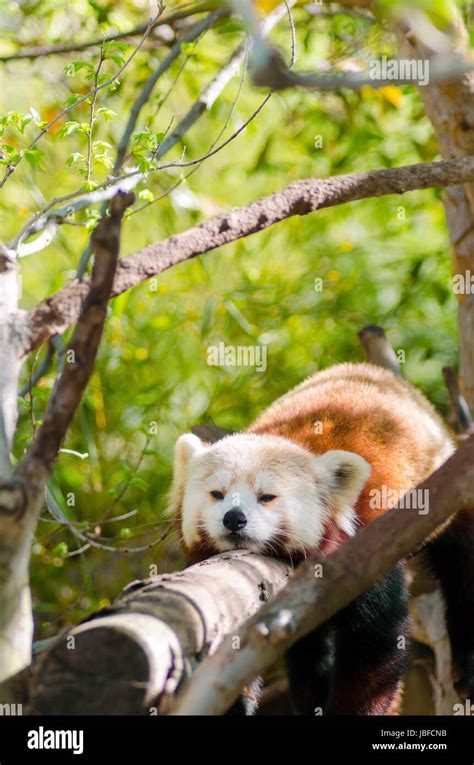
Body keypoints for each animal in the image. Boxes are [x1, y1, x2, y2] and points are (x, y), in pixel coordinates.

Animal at [168, 362, 472, 712]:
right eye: (217, 494)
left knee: (462, 567)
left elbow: (373, 646)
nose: (234, 519)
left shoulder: (368, 548)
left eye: (266, 497)